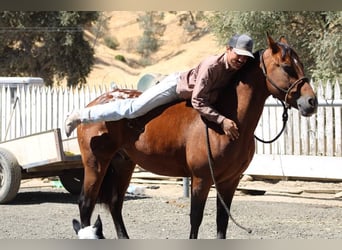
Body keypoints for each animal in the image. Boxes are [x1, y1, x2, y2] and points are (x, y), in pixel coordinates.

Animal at [73, 34, 318, 239]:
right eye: (286, 66)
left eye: (300, 64)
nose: (311, 102)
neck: (224, 120)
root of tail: (94, 104)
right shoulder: (201, 179)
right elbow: (196, 220)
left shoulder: (230, 181)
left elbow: (222, 222)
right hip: (96, 164)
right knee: (86, 204)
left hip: (124, 164)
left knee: (115, 204)